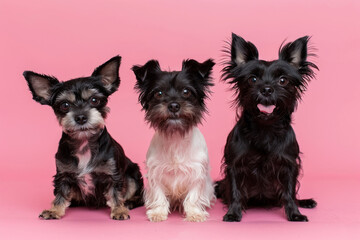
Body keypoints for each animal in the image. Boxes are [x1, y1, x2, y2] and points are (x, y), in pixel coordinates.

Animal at [21, 55, 143, 219]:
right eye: (65, 105)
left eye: (94, 100)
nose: (80, 117)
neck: (84, 142)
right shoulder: (63, 175)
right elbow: (60, 194)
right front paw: (54, 210)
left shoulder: (113, 174)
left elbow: (115, 194)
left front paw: (119, 210)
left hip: (132, 175)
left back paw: (129, 203)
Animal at [215, 33, 316, 221]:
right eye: (253, 79)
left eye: (283, 80)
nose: (267, 89)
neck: (265, 127)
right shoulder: (234, 166)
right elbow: (235, 192)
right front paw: (233, 213)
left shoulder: (289, 165)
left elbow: (289, 194)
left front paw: (295, 214)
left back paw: (305, 202)